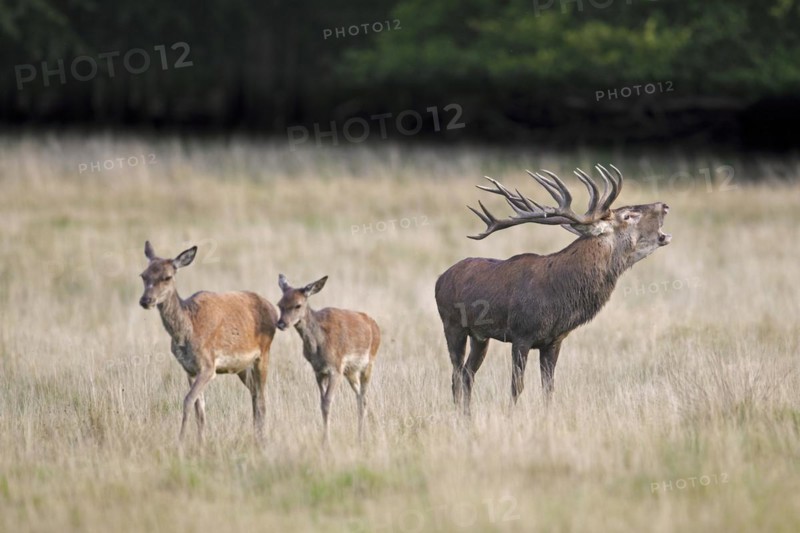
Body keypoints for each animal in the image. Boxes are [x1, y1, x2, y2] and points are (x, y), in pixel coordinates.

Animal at [138, 241, 278, 443]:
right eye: (143, 275)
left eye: (167, 277)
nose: (145, 300)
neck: (187, 333)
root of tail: (273, 310)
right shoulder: (189, 369)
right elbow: (200, 410)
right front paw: (200, 442)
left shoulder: (208, 366)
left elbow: (188, 400)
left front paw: (181, 440)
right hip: (242, 367)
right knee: (254, 394)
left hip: (264, 353)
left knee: (262, 397)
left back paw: (262, 437)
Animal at [275, 274, 380, 444]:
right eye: (279, 304)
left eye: (298, 305)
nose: (281, 323)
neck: (319, 345)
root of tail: (374, 325)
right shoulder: (319, 371)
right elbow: (321, 403)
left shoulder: (335, 368)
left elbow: (327, 403)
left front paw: (326, 442)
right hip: (350, 371)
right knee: (361, 398)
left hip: (369, 363)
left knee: (363, 398)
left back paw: (361, 437)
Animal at [435, 164, 671, 415]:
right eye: (627, 215)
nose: (664, 205)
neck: (557, 296)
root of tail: (439, 279)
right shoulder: (521, 333)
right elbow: (517, 386)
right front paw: (512, 415)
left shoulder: (554, 340)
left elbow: (548, 388)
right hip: (452, 325)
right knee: (456, 375)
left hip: (480, 336)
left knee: (467, 373)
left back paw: (467, 416)